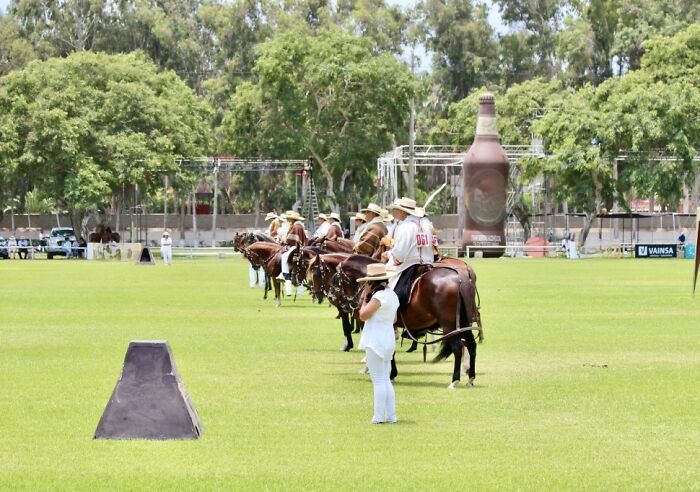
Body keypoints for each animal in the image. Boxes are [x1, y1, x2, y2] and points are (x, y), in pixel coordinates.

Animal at [338, 256, 482, 390]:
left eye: (341, 281)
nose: (346, 305)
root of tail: (460, 277)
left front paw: (385, 373)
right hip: (464, 323)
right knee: (471, 345)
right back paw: (470, 378)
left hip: (449, 325)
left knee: (457, 347)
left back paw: (454, 380)